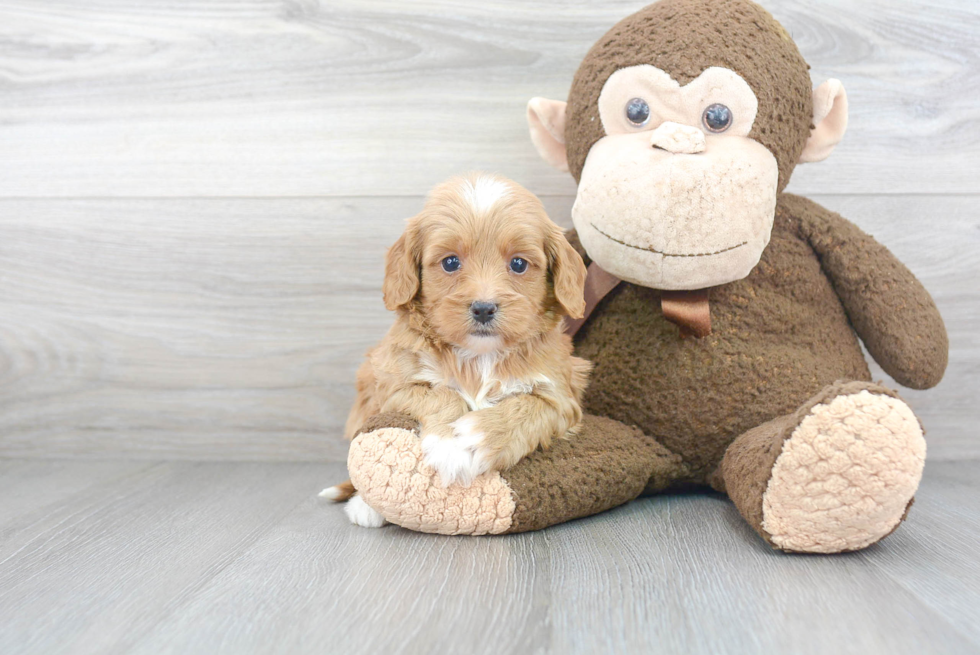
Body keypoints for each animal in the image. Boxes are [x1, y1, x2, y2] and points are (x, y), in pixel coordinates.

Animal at [324, 174, 588, 528]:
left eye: (519, 264)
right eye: (450, 262)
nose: (483, 308)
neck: (479, 356)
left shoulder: (561, 395)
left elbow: (529, 406)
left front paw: (473, 440)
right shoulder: (392, 385)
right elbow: (440, 393)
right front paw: (451, 442)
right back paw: (364, 507)